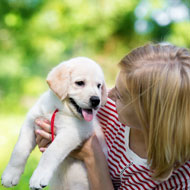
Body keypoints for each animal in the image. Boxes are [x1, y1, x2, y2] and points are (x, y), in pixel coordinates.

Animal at [1, 57, 107, 189]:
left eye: (99, 86)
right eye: (80, 83)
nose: (96, 100)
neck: (59, 109)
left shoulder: (71, 132)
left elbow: (51, 152)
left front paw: (39, 176)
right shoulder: (30, 122)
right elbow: (19, 149)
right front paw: (10, 175)